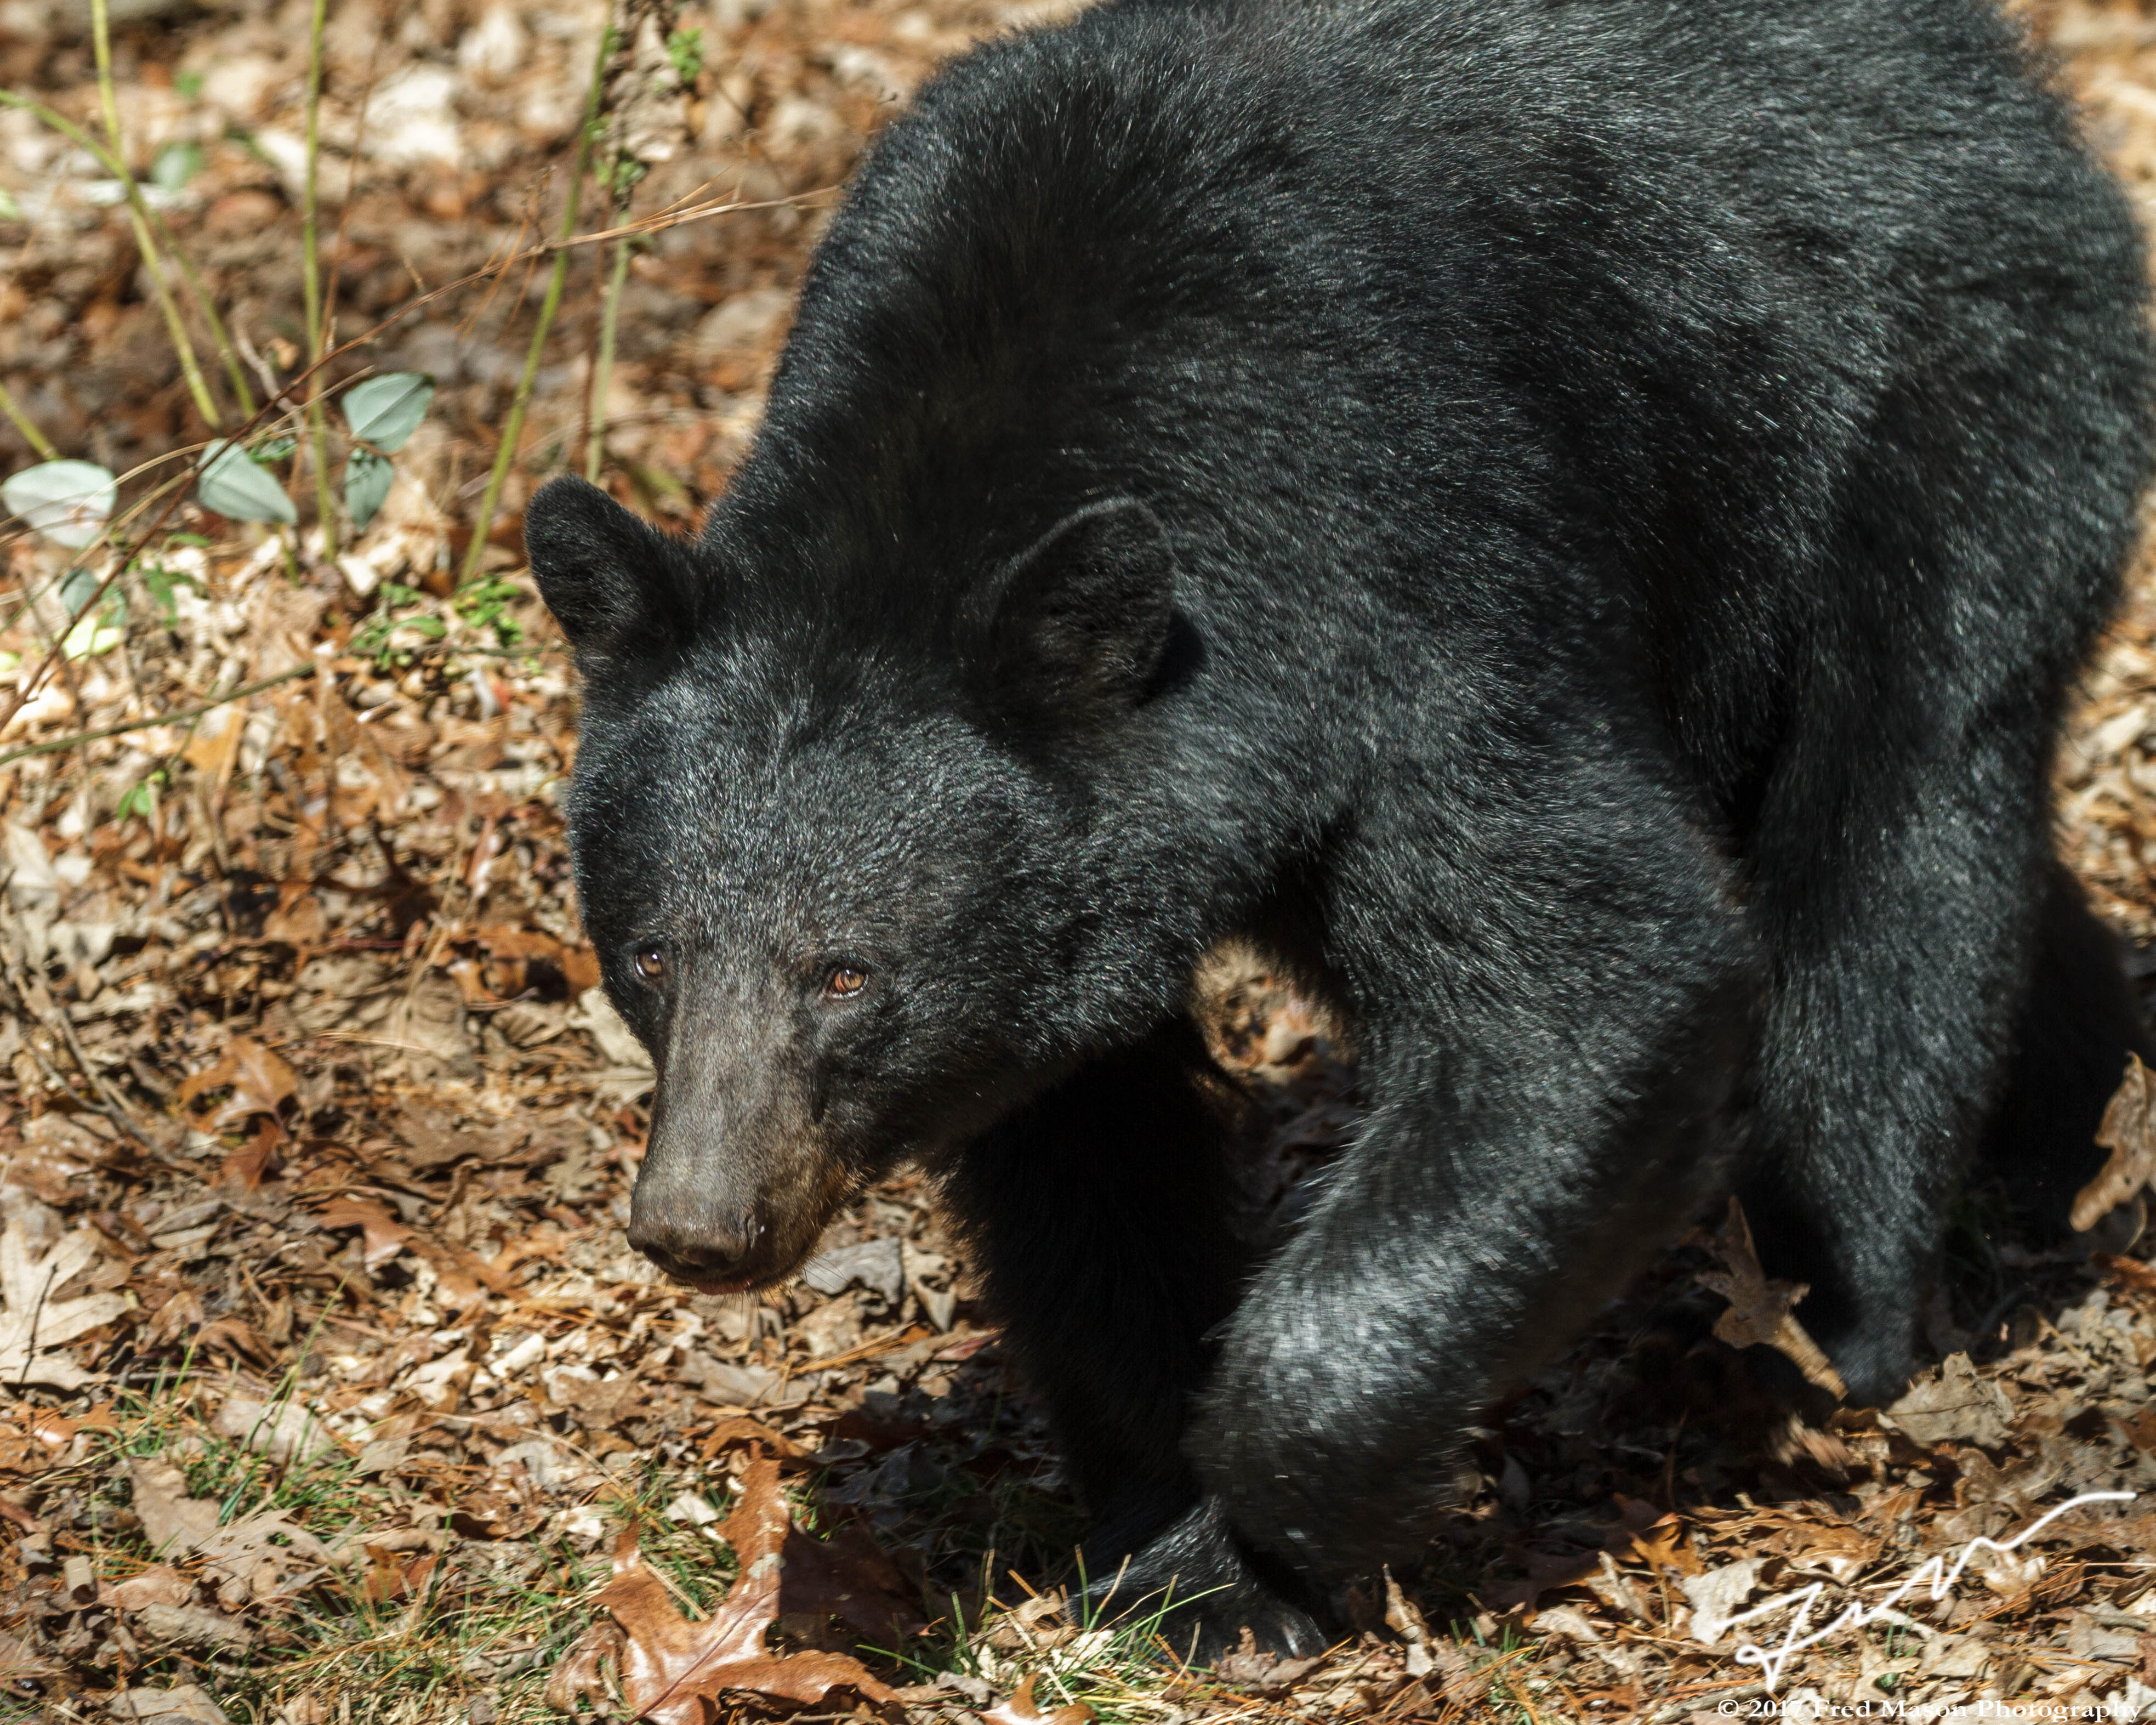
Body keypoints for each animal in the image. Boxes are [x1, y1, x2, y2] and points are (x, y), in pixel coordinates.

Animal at [523, 0, 2156, 1658]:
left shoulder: (1404, 586)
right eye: (650, 958)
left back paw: (1833, 1327)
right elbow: (1080, 1139)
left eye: (846, 973)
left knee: (1895, 847)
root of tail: (2008, 84)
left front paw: (1283, 1531)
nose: (699, 1224)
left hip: (1931, 412)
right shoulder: (1066, 902)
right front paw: (1170, 1538)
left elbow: (1591, 978)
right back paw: (2068, 1121)